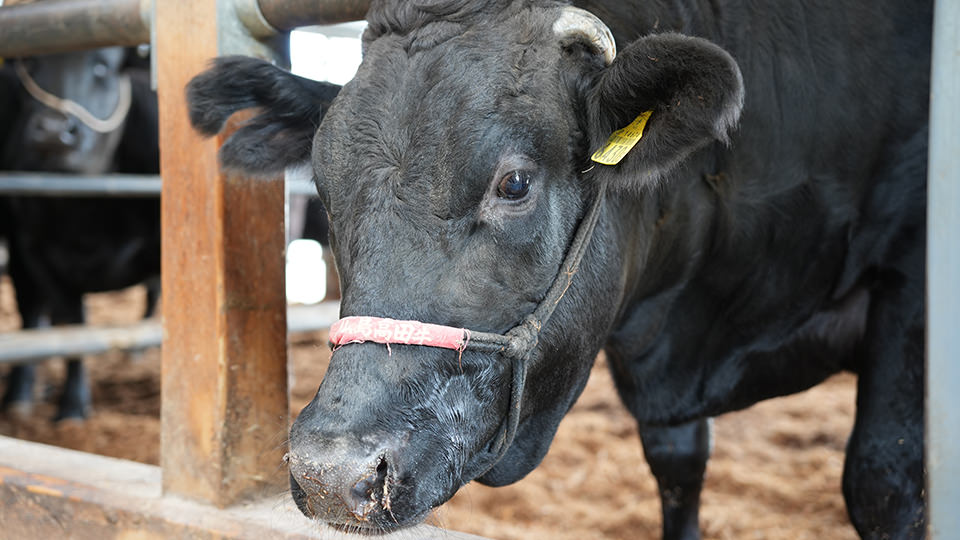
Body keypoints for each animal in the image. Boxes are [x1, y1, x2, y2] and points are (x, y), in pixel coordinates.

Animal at [0, 48, 161, 420]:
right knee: (33, 319)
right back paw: (21, 396)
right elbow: (75, 327)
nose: (52, 131)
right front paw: (72, 407)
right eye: (32, 65)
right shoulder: (36, 254)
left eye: (101, 66)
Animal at [188, 2, 928, 536]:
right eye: (324, 184)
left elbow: (883, 479)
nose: (330, 472)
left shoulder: (913, 278)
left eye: (513, 183)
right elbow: (679, 468)